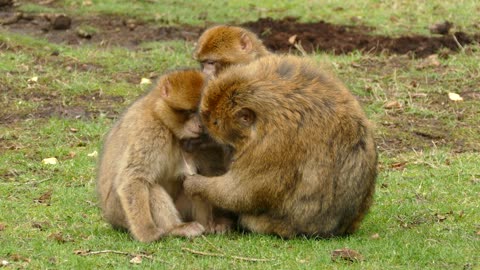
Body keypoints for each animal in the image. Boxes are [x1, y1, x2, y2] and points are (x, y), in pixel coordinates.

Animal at [96, 69, 217, 243]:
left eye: (202, 113)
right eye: (189, 111)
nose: (201, 125)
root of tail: (109, 217)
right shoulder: (150, 131)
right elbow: (133, 179)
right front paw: (147, 232)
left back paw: (207, 225)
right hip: (119, 213)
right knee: (151, 187)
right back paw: (175, 228)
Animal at [184, 54, 378, 238]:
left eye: (215, 122)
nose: (205, 127)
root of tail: (342, 228)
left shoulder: (273, 144)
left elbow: (242, 192)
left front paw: (196, 184)